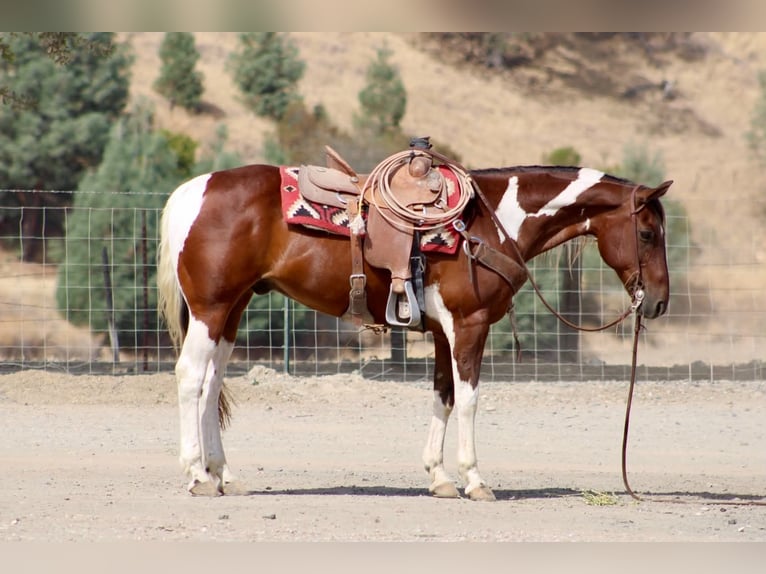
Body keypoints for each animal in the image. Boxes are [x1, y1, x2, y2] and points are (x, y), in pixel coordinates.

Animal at [157, 157, 671, 500]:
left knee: (212, 383)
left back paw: (223, 474)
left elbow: (443, 395)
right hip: (210, 307)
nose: (660, 301)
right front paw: (475, 480)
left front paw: (439, 478)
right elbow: (469, 399)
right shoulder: (469, 326)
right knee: (190, 378)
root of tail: (193, 191)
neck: (490, 223)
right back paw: (198, 475)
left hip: (231, 310)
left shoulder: (445, 331)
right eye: (648, 234)